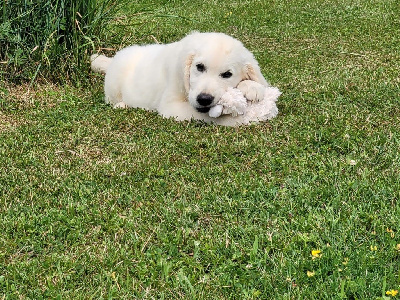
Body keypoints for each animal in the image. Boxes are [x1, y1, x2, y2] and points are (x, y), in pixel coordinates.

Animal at [91, 32, 268, 126]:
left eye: (227, 74)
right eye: (199, 67)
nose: (204, 99)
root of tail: (113, 59)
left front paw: (252, 87)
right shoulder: (171, 106)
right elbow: (206, 116)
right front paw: (237, 119)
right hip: (115, 81)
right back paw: (122, 105)